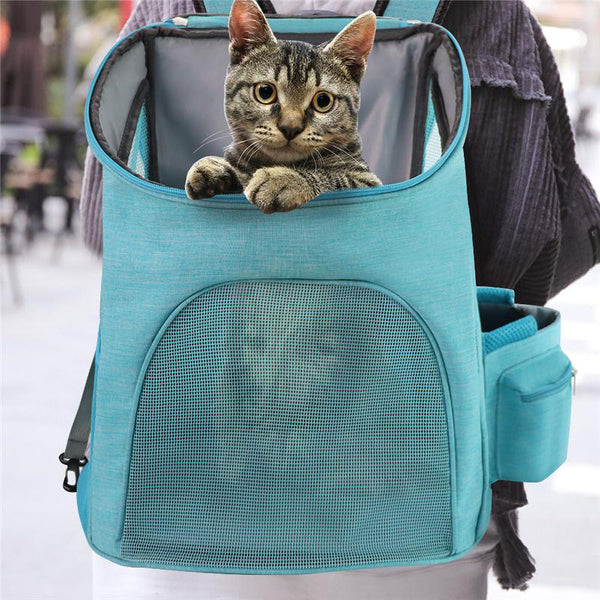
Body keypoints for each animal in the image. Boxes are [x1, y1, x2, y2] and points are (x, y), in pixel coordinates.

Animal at [184, 0, 380, 213]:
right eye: (265, 92)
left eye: (323, 101)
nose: (290, 127)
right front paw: (211, 166)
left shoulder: (367, 181)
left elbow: (334, 177)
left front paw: (284, 178)